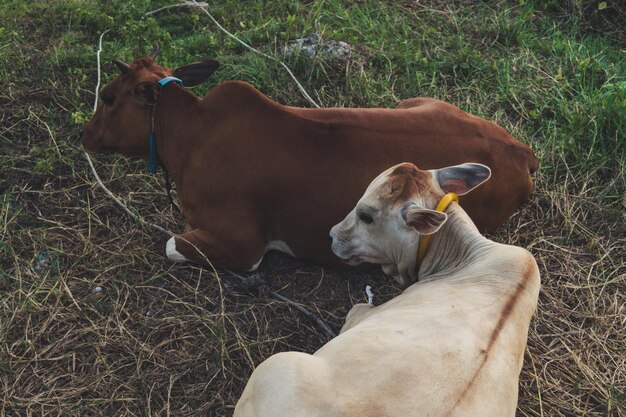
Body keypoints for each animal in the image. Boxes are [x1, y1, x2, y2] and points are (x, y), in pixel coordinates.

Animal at [79, 52, 536, 270]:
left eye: (108, 97)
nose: (83, 135)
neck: (193, 136)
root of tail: (521, 150)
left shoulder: (242, 246)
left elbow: (171, 244)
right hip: (411, 102)